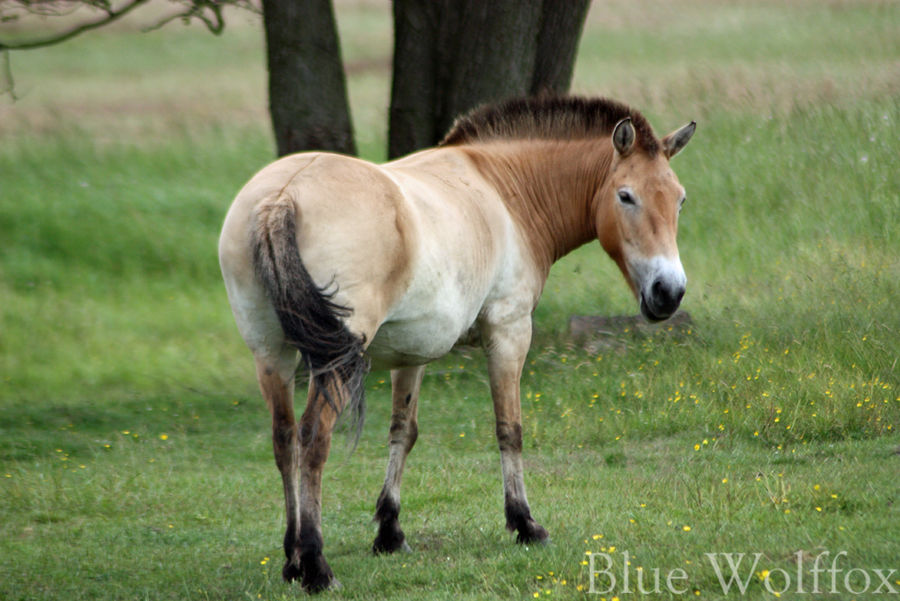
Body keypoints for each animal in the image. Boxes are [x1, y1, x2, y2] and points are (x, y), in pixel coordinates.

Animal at [218, 95, 696, 592]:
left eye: (679, 199)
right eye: (626, 196)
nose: (669, 292)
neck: (504, 190)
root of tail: (282, 196)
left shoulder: (411, 352)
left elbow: (402, 431)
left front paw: (390, 532)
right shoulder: (509, 332)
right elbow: (510, 429)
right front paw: (524, 524)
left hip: (271, 355)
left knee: (284, 440)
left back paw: (292, 561)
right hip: (330, 362)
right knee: (314, 438)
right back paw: (315, 565)